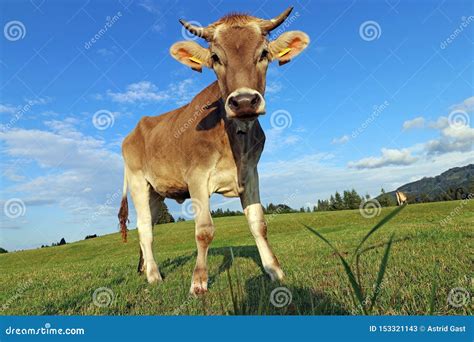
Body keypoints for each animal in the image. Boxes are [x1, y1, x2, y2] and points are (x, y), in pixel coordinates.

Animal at [118, 6, 312, 296]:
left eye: (263, 53)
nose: (244, 101)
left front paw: (274, 270)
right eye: (215, 57)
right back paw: (153, 275)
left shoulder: (251, 173)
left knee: (148, 224)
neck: (234, 140)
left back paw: (144, 268)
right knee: (144, 229)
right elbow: (204, 230)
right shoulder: (197, 177)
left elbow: (259, 223)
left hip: (156, 191)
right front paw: (198, 282)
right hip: (138, 181)